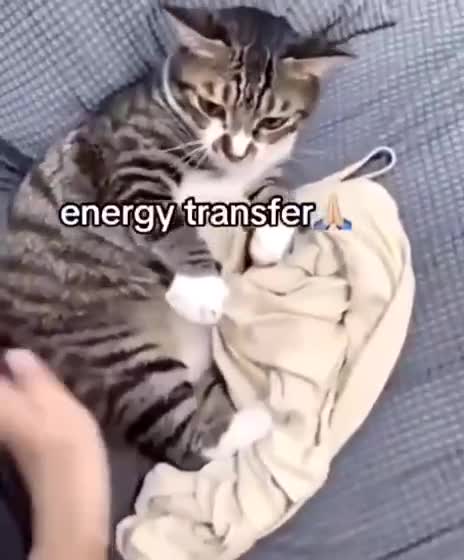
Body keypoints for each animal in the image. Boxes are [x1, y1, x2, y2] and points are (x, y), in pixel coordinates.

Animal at [0, 6, 351, 469]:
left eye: (271, 122)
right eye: (211, 105)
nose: (236, 150)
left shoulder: (261, 167)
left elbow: (275, 186)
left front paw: (269, 240)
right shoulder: (134, 161)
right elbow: (170, 224)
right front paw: (202, 286)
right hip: (116, 354)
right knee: (185, 444)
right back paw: (260, 417)